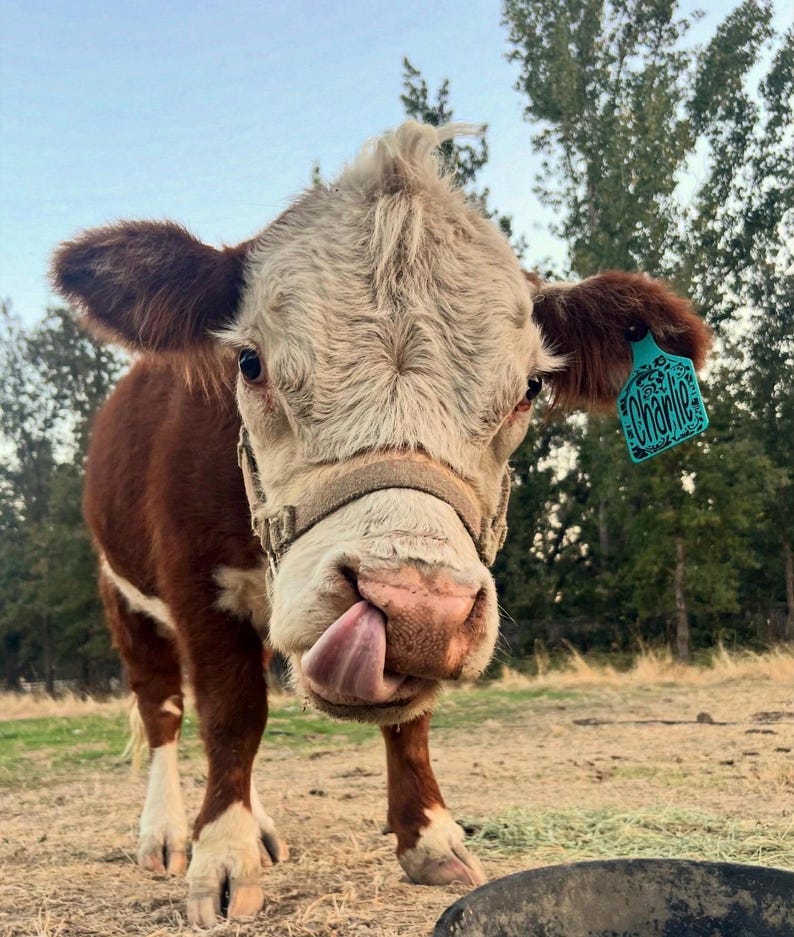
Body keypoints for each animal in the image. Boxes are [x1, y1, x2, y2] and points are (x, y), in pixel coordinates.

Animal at [51, 121, 711, 925]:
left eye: (529, 388)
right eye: (249, 362)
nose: (411, 605)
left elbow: (410, 722)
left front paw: (429, 836)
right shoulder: (195, 582)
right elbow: (231, 715)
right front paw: (223, 857)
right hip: (123, 594)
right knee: (164, 711)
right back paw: (170, 831)